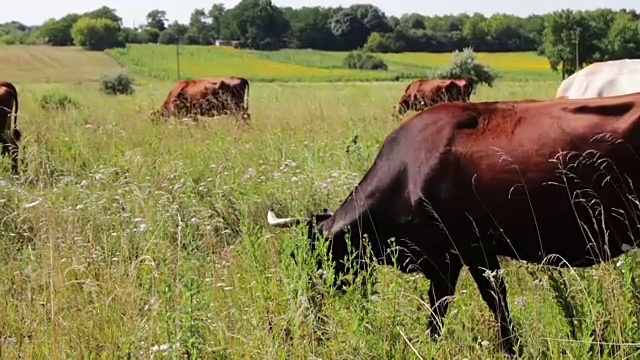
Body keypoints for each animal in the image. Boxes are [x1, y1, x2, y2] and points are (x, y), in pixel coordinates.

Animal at [264, 93, 640, 354]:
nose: (305, 314)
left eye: (310, 258)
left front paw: (512, 348)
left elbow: (492, 301)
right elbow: (437, 310)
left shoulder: (471, 247)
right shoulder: (443, 259)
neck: (409, 171)